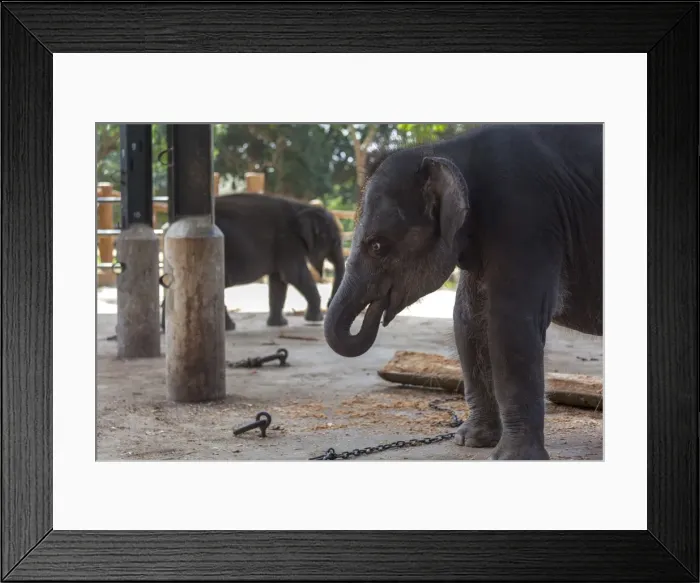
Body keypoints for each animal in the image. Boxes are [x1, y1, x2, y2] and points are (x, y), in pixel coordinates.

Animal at [161, 192, 345, 331]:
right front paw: (315, 319)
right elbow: (294, 275)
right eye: (336, 242)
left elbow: (279, 281)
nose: (330, 303)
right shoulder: (287, 241)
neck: (303, 207)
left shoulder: (281, 246)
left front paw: (278, 324)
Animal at [323, 124, 603, 461]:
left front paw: (512, 458)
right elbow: (467, 320)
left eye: (377, 246)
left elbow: (510, 323)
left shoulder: (526, 217)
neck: (447, 151)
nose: (375, 312)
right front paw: (471, 441)